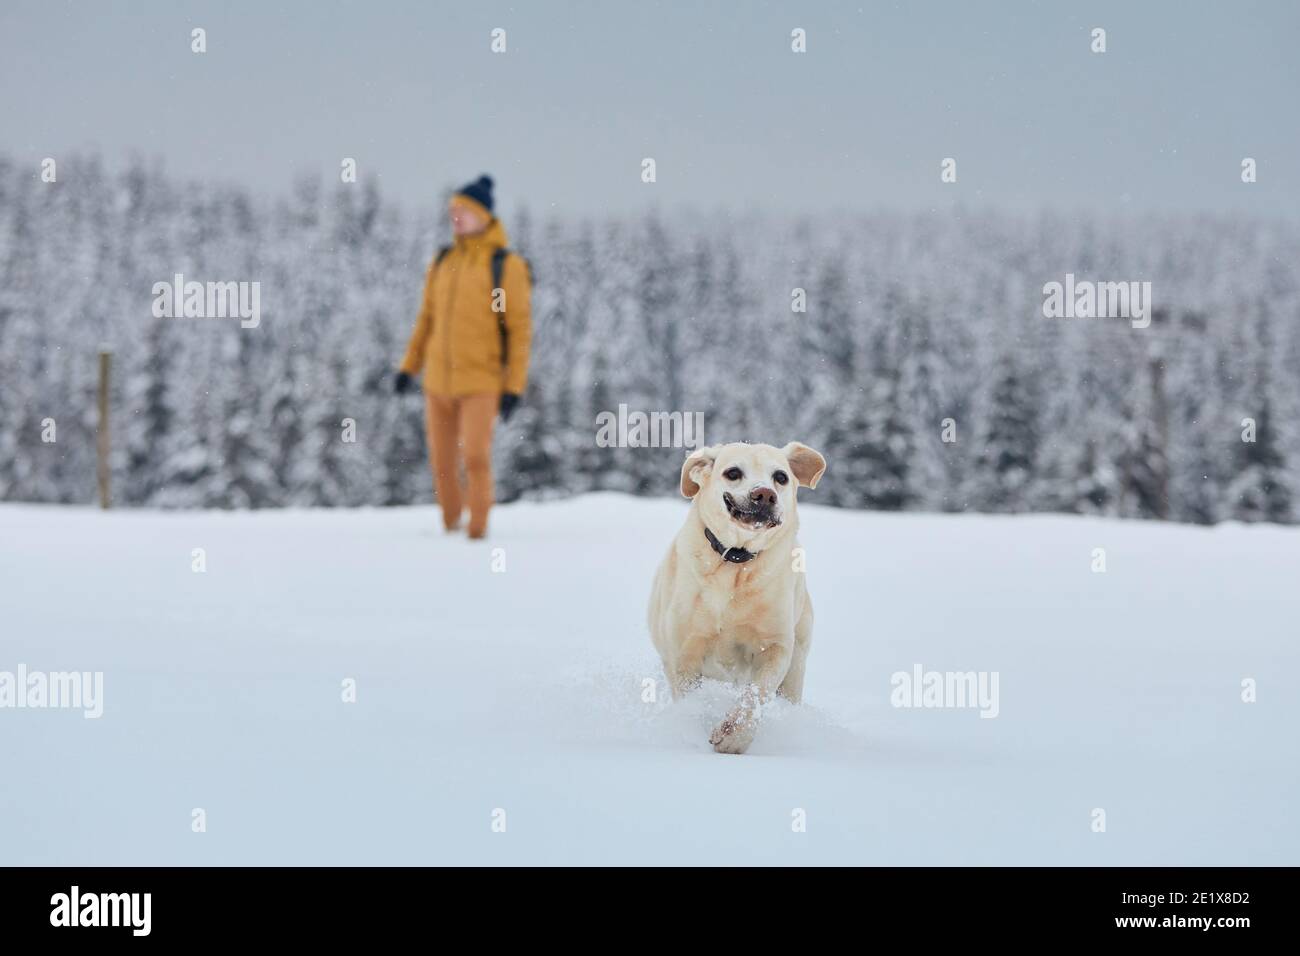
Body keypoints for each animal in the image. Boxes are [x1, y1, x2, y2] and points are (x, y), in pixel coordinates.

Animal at [647, 442, 826, 754]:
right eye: (732, 473)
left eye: (781, 477)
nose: (764, 494)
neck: (735, 563)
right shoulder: (683, 654)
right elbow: (689, 698)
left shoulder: (775, 647)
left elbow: (757, 695)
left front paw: (733, 736)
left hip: (797, 664)